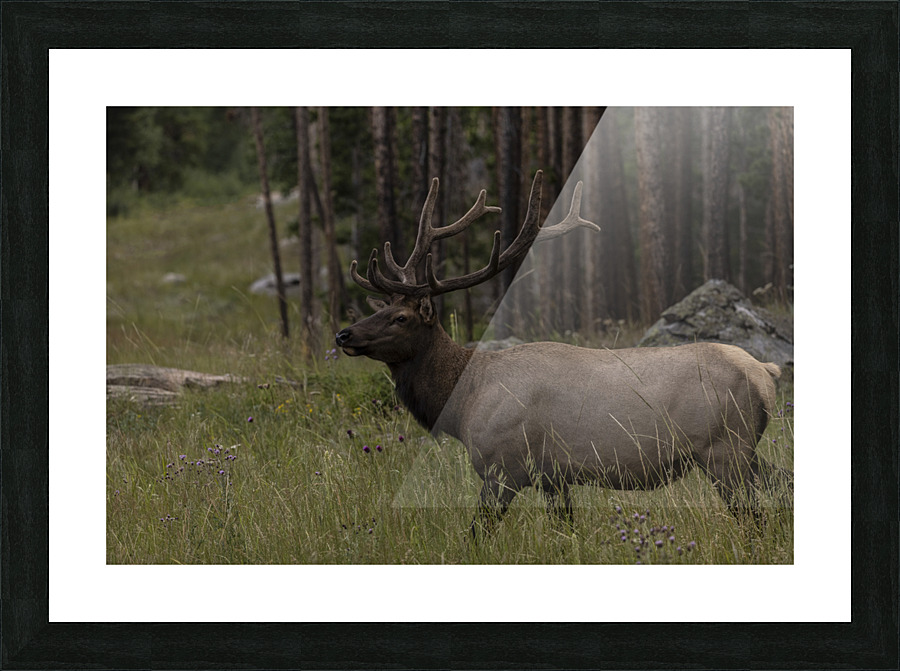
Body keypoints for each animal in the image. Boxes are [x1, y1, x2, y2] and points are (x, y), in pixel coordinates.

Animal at [335, 170, 791, 537]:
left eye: (401, 318)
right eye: (379, 308)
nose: (343, 334)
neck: (462, 404)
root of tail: (766, 372)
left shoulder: (504, 467)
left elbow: (477, 533)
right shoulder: (554, 477)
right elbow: (565, 528)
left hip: (725, 449)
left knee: (756, 513)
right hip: (742, 451)